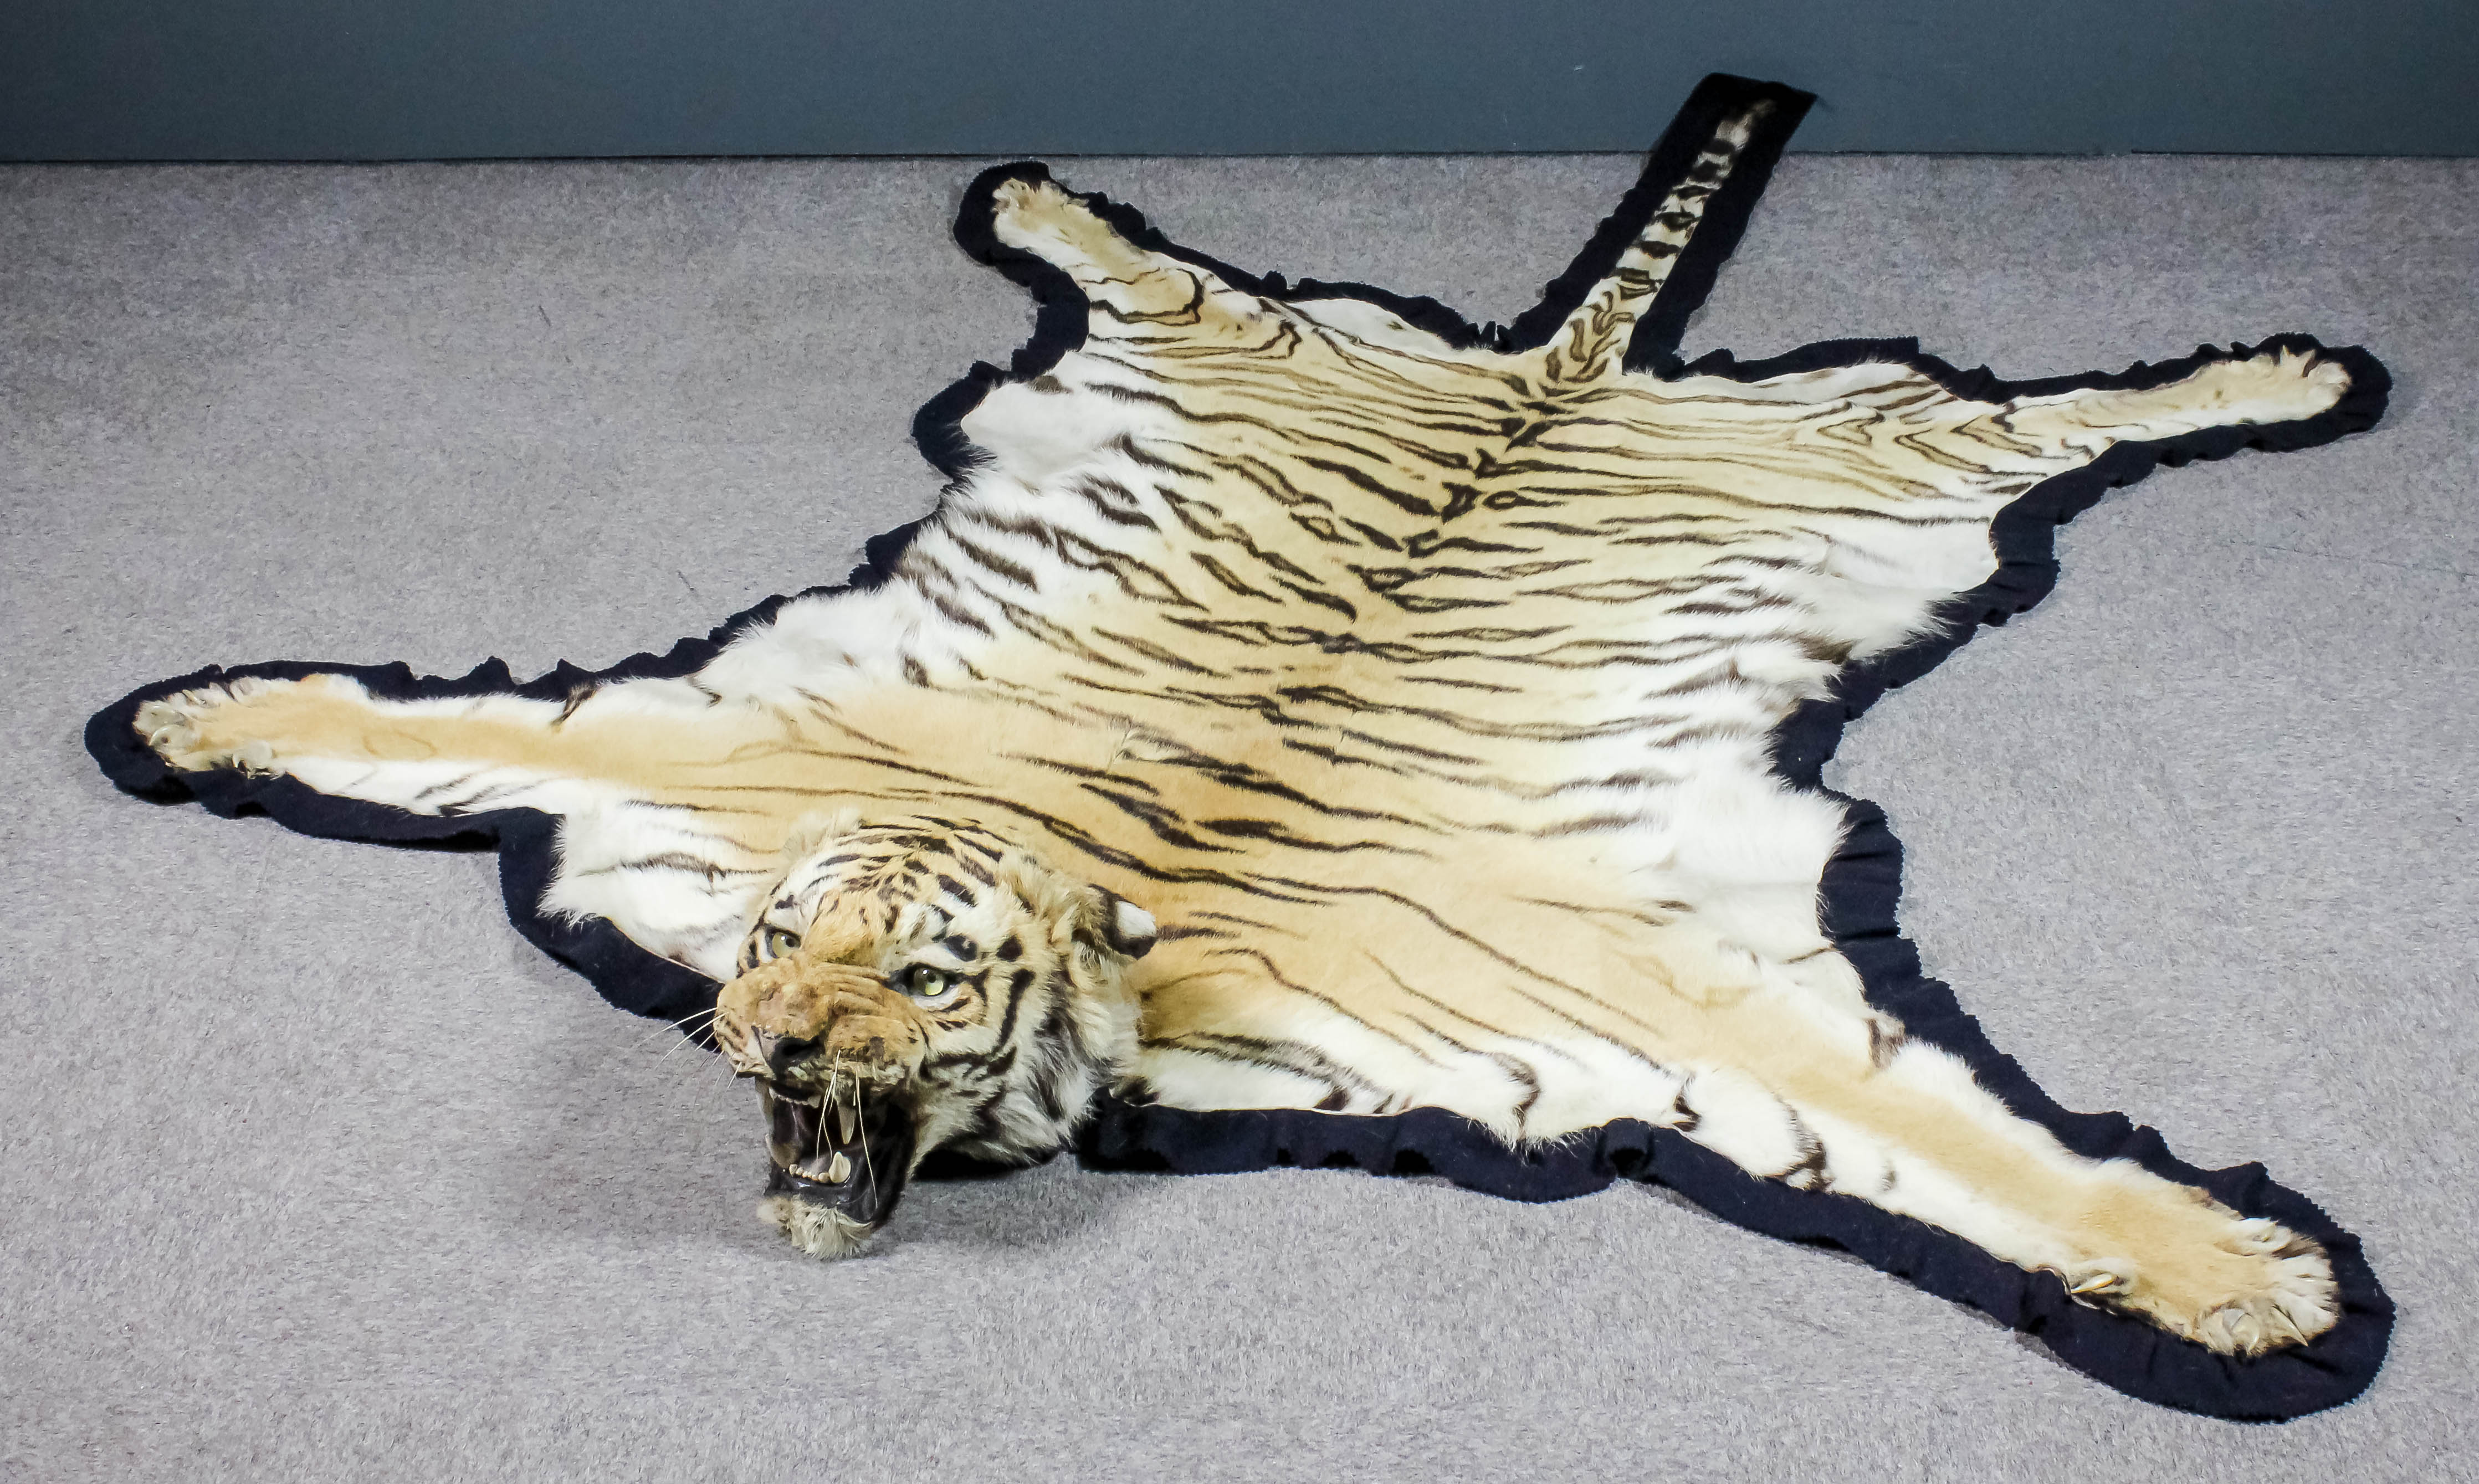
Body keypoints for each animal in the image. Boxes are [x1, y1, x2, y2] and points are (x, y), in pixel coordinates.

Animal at [109, 76, 2382, 1377]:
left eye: (923, 980)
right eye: (776, 945)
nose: (776, 1043)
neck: (1130, 919)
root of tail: (1543, 369)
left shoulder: (1661, 994)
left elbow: (1963, 1143)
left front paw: (2242, 1280)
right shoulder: (695, 770)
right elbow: (435, 730)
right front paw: (197, 711)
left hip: (1884, 439)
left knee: (2074, 408)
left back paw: (2289, 372)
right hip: (1270, 343)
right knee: (1159, 263)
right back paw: (1028, 196)